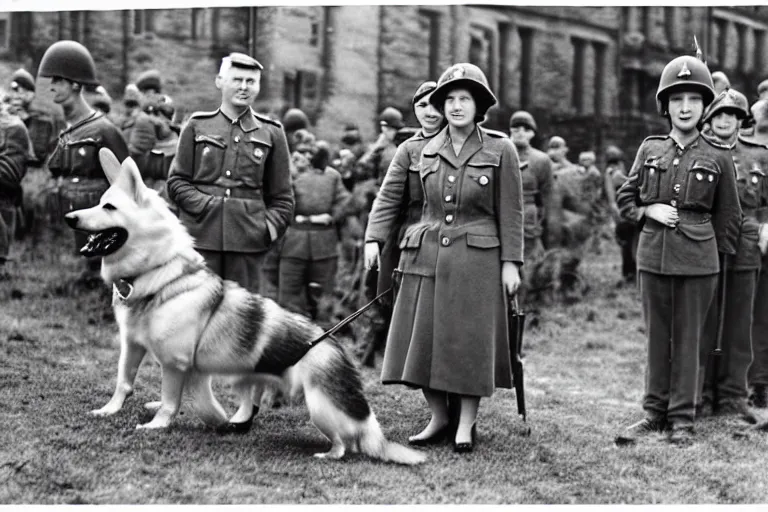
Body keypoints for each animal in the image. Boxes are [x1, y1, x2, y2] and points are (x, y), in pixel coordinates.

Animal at [64, 147, 426, 464]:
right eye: (99, 203)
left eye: (109, 207)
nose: (69, 217)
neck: (160, 273)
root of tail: (337, 351)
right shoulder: (134, 346)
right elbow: (124, 383)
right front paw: (111, 410)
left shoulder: (175, 365)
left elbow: (170, 400)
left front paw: (158, 425)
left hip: (319, 407)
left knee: (345, 443)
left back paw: (328, 454)